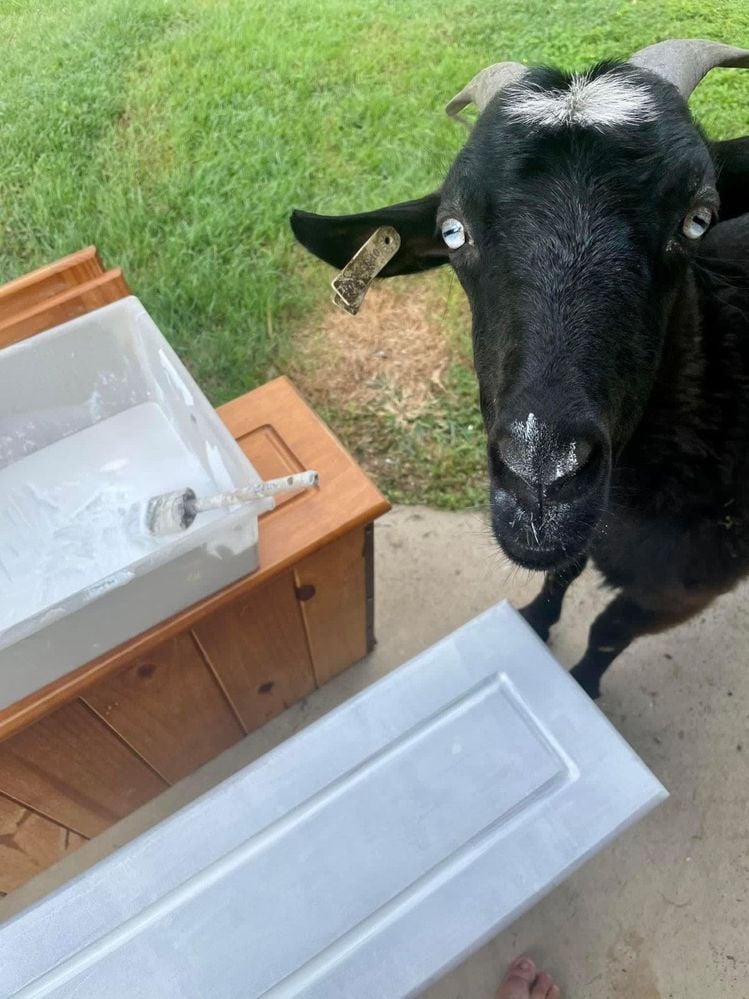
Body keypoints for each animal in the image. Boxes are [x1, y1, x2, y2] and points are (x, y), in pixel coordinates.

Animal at [290, 39, 749, 698]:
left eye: (697, 218)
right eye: (452, 232)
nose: (541, 479)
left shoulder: (685, 586)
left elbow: (607, 632)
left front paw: (581, 685)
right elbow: (561, 571)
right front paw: (533, 624)